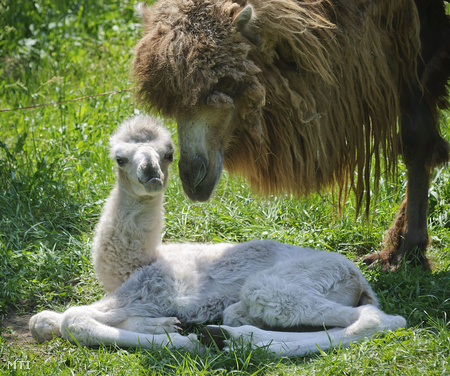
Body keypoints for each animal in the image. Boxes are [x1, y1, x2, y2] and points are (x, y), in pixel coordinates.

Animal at [29, 114, 408, 356]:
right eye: (120, 158)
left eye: (168, 155)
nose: (150, 172)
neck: (136, 261)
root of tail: (359, 279)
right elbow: (45, 320)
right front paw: (164, 326)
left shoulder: (153, 288)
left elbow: (72, 319)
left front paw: (180, 339)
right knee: (243, 312)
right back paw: (226, 332)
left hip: (280, 284)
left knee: (380, 318)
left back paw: (230, 340)